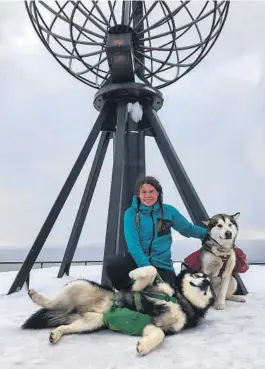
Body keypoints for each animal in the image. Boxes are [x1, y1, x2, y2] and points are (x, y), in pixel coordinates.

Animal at [21, 264, 213, 354]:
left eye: (210, 284)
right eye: (197, 274)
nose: (206, 281)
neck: (181, 299)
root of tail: (75, 310)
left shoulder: (154, 325)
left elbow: (159, 334)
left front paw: (144, 346)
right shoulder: (141, 289)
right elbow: (151, 270)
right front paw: (134, 272)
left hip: (91, 323)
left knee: (65, 325)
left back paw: (56, 334)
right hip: (77, 287)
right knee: (53, 303)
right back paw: (36, 296)